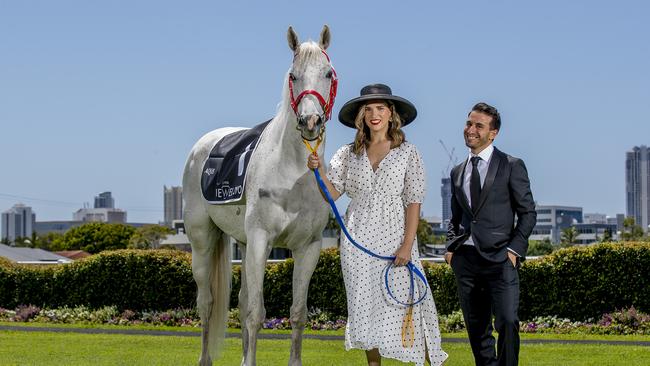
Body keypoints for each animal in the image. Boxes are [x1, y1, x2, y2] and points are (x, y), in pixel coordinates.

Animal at [182, 26, 334, 366]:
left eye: (328, 73)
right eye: (293, 75)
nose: (310, 122)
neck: (291, 172)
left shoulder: (308, 247)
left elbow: (298, 313)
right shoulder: (262, 240)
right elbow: (255, 313)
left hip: (243, 242)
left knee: (238, 301)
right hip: (203, 242)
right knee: (207, 303)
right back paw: (204, 358)